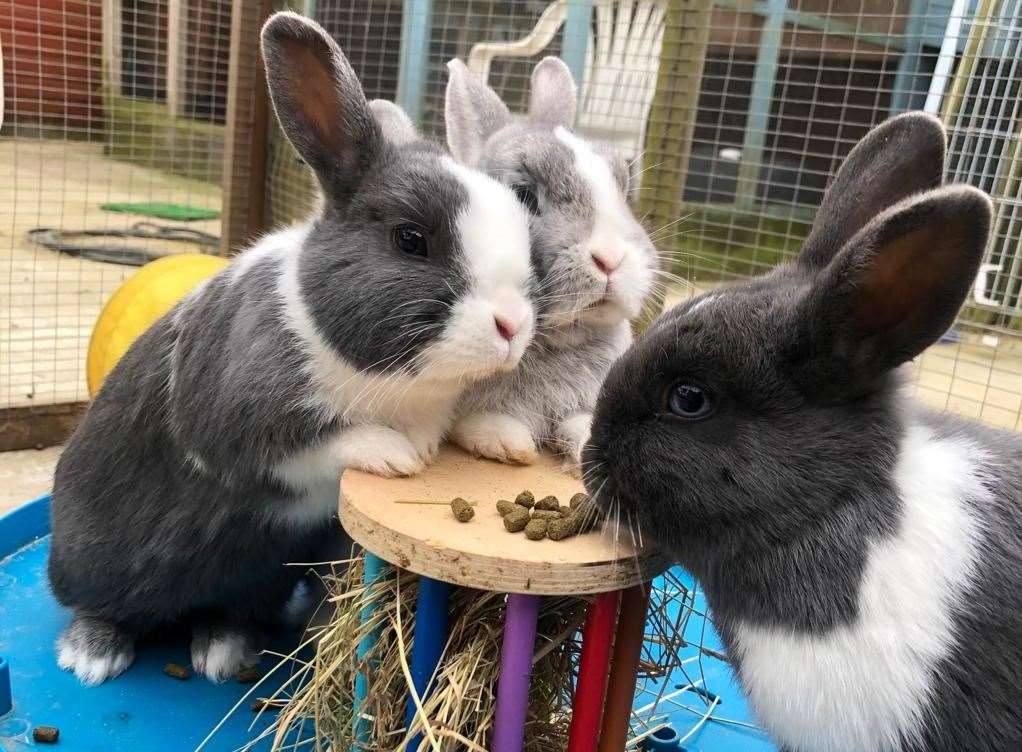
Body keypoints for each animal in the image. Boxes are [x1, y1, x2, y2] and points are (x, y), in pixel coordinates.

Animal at [48, 8, 535, 682]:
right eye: (411, 239)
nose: (514, 327)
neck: (398, 385)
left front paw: (505, 441)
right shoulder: (237, 422)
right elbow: (318, 441)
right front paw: (397, 454)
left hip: (254, 580)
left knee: (226, 609)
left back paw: (224, 651)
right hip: (91, 561)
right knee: (99, 604)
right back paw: (93, 654)